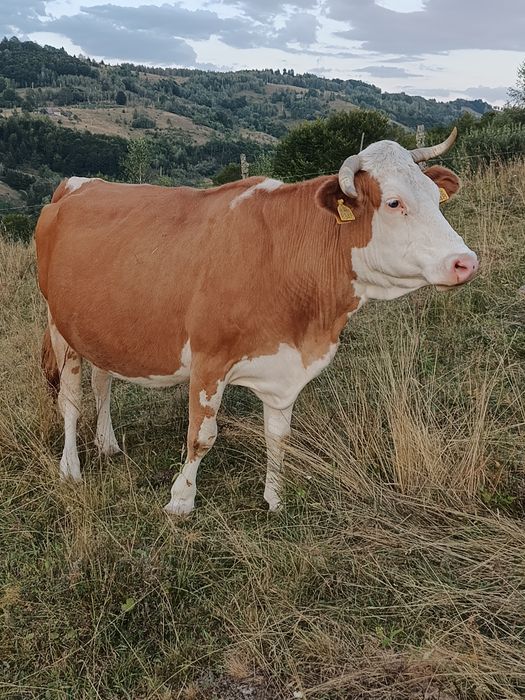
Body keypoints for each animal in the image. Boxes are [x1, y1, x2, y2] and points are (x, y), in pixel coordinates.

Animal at [35, 128, 478, 515]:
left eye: (435, 198)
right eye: (394, 203)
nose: (466, 261)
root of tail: (77, 185)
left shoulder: (284, 366)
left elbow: (279, 436)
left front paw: (275, 497)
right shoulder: (208, 361)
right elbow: (201, 436)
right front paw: (181, 500)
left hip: (99, 327)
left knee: (102, 381)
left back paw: (107, 443)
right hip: (59, 326)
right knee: (70, 399)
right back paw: (70, 468)